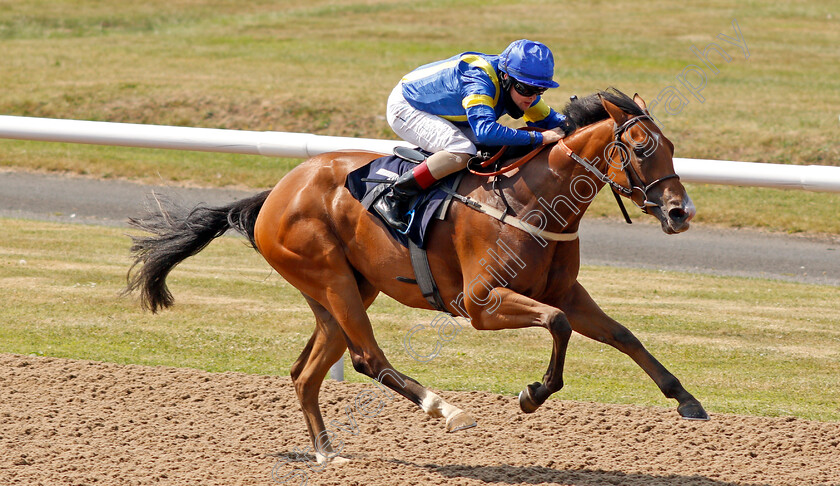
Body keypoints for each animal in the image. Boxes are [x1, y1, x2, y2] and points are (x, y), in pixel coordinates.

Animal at [126, 89, 708, 466]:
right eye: (641, 148)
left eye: (672, 147)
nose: (680, 212)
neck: (532, 199)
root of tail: (274, 193)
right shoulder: (481, 303)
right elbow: (559, 324)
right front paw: (533, 393)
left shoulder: (565, 290)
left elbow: (621, 334)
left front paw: (685, 399)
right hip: (331, 278)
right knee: (367, 358)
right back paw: (444, 409)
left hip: (341, 291)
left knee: (306, 372)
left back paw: (327, 453)